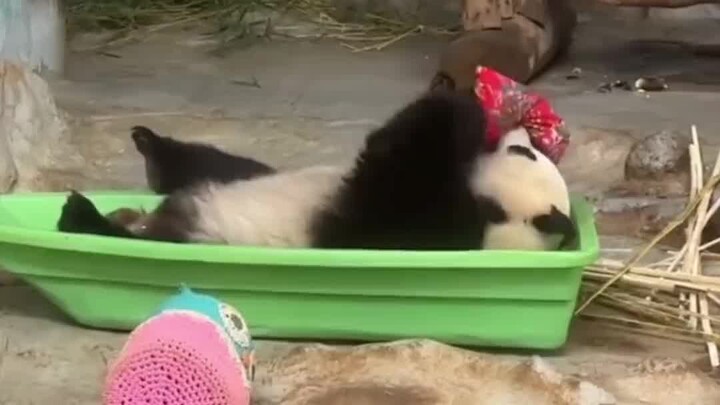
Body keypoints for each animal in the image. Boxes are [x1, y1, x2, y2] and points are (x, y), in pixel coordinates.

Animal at [58, 89, 574, 251]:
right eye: (530, 154)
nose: (523, 136)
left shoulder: (405, 229)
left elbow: (397, 163)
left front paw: (462, 103)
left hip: (194, 234)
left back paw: (83, 216)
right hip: (237, 177)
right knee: (211, 164)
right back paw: (151, 150)